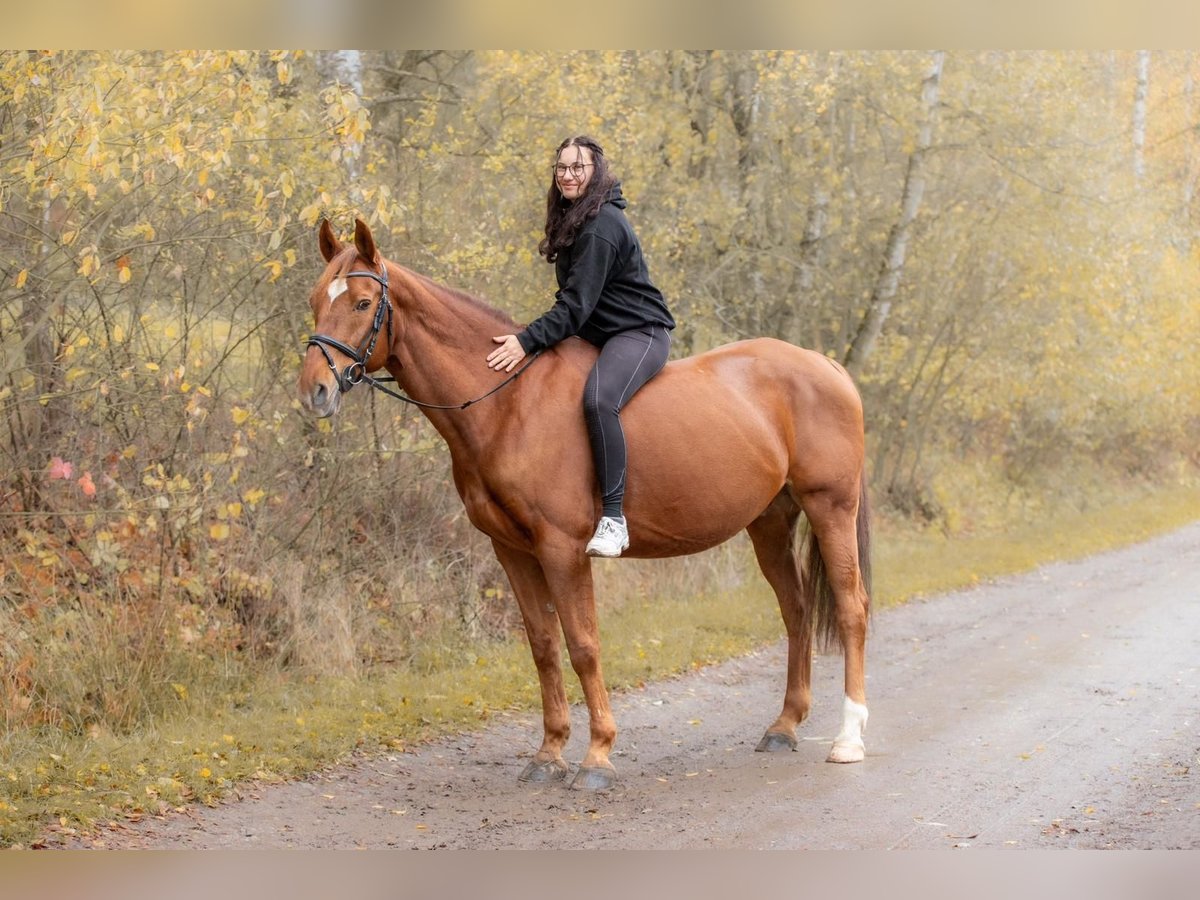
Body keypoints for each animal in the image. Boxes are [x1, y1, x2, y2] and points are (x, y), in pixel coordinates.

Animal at [297, 218, 872, 791]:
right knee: (796, 609)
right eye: (315, 299)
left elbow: (583, 645)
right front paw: (549, 753)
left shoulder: (563, 550)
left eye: (363, 302)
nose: (314, 392)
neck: (510, 403)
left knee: (851, 610)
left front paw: (597, 755)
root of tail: (825, 365)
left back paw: (848, 739)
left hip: (830, 508)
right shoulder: (512, 551)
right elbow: (544, 647)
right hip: (770, 523)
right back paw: (784, 726)